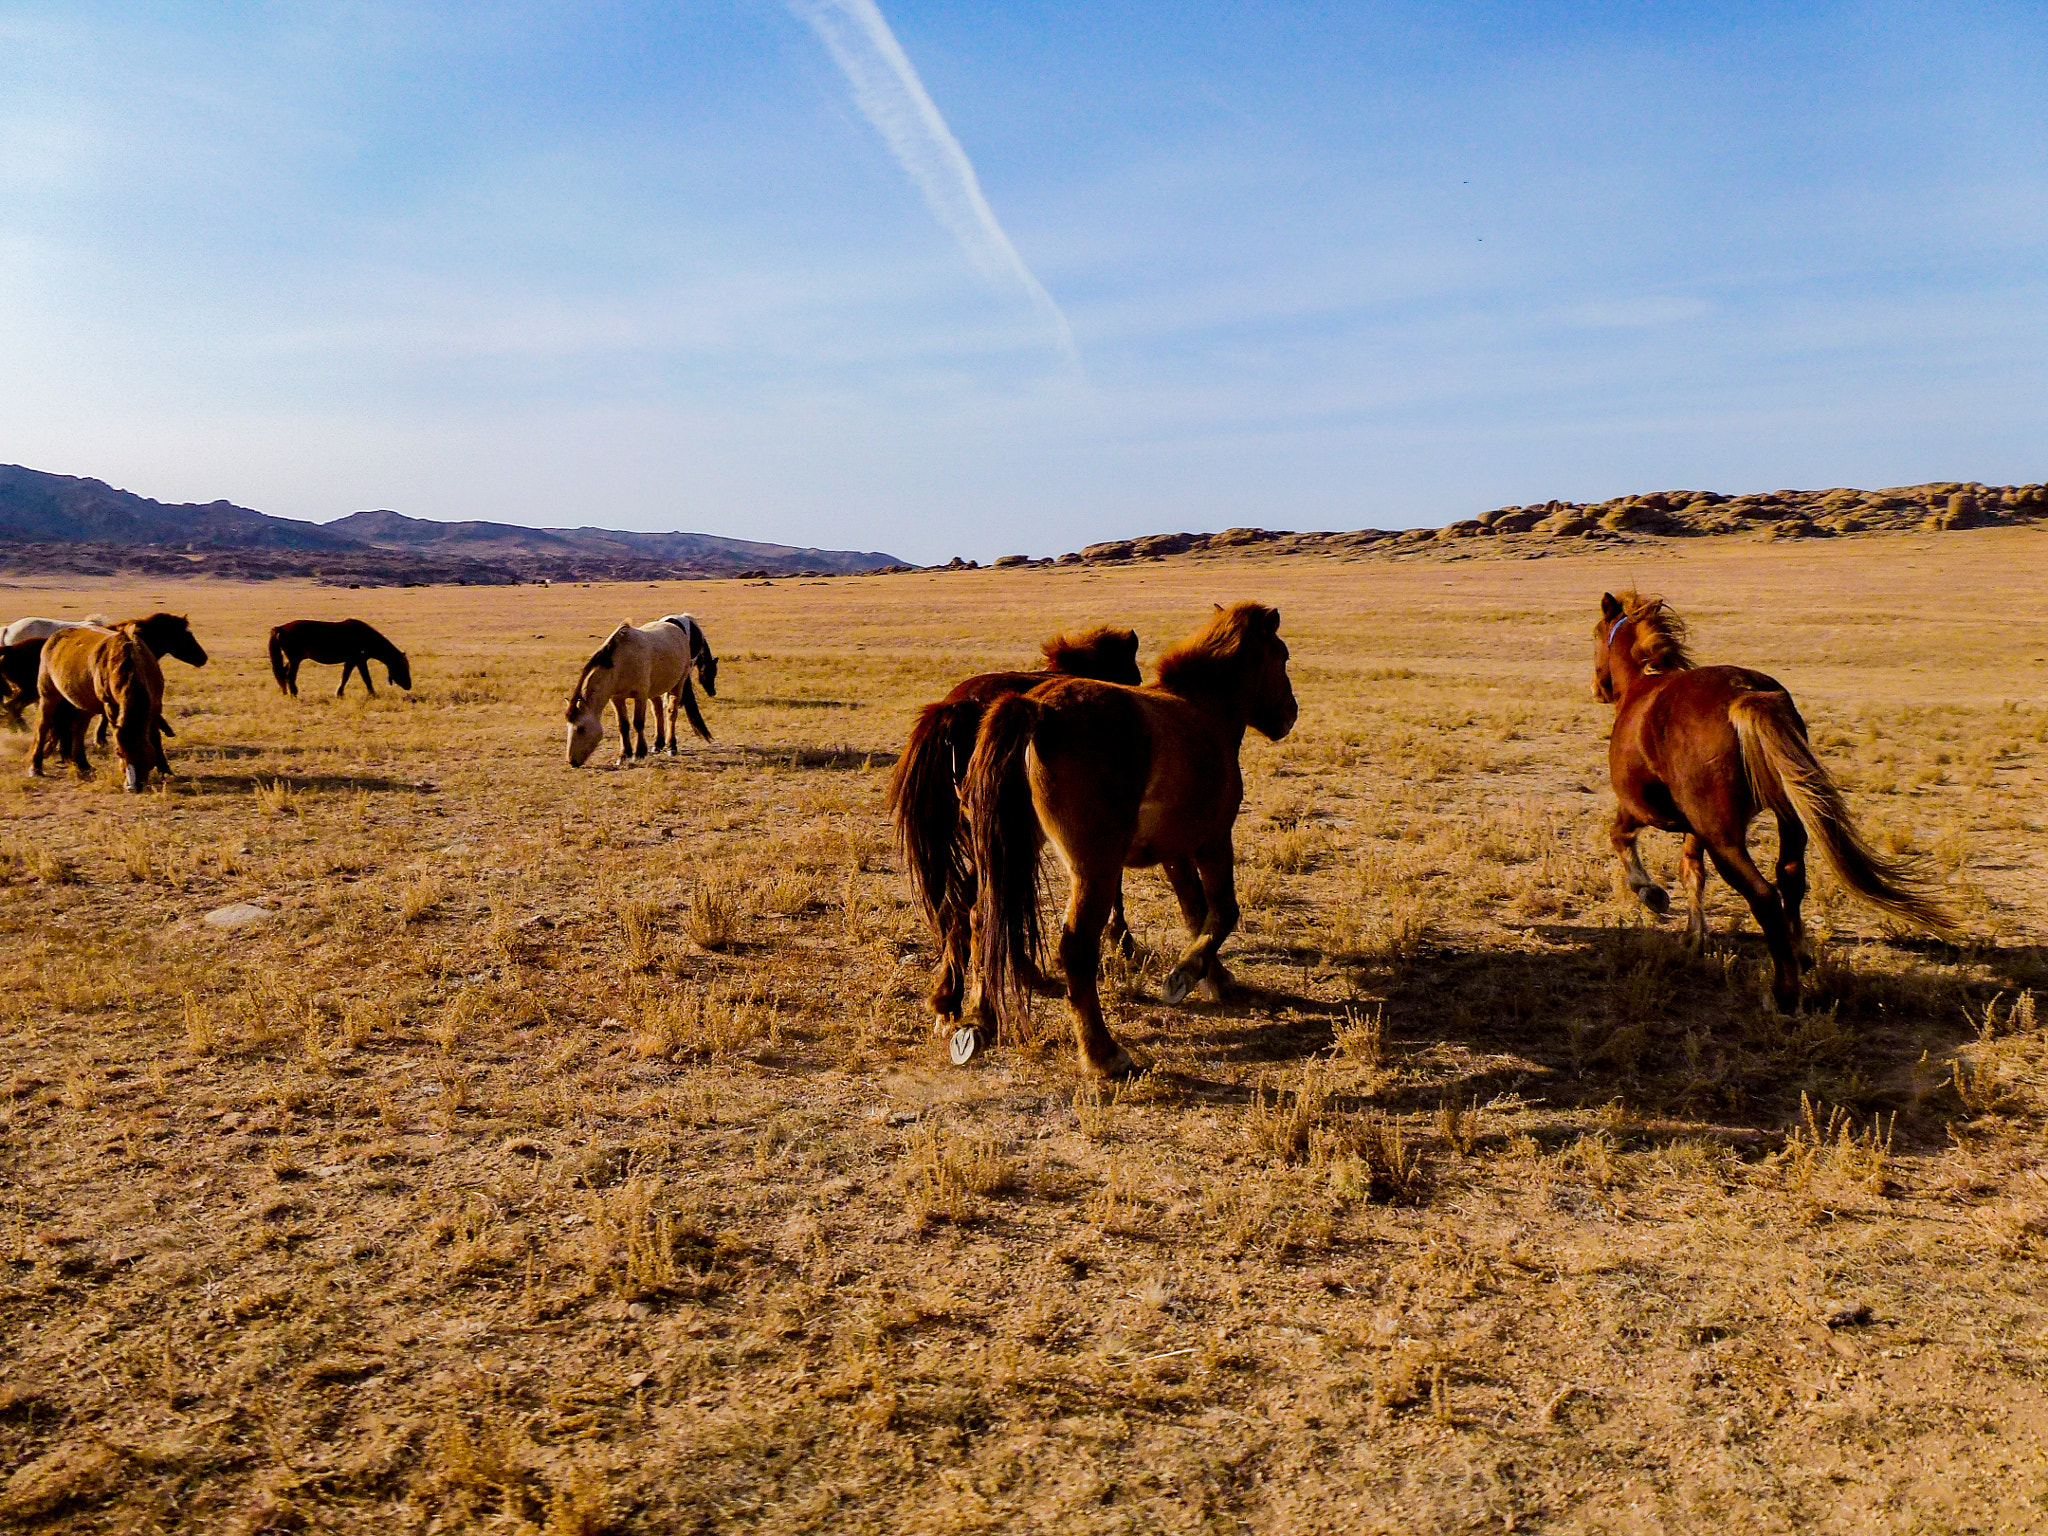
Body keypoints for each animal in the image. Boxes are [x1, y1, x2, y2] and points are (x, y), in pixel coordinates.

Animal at [32, 626, 167, 794]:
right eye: (119, 752)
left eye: (141, 751)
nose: (131, 786)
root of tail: (53, 638)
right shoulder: (111, 706)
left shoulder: (155, 706)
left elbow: (155, 737)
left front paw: (165, 770)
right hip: (49, 696)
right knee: (42, 727)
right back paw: (35, 767)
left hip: (84, 703)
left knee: (78, 729)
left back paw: (82, 764)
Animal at [272, 622, 415, 700]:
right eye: (402, 667)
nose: (409, 685)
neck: (366, 637)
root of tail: (281, 628)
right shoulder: (359, 660)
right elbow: (366, 678)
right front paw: (373, 694)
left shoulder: (351, 661)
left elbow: (345, 677)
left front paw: (339, 693)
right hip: (295, 660)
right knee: (290, 676)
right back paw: (293, 694)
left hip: (292, 660)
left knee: (283, 674)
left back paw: (286, 692)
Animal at [565, 618, 716, 770]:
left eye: (581, 728)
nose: (571, 761)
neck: (621, 662)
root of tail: (676, 627)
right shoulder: (616, 698)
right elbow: (623, 725)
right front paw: (624, 755)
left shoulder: (640, 696)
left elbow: (638, 723)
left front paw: (638, 753)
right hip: (655, 689)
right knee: (658, 712)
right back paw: (657, 744)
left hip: (678, 684)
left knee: (671, 713)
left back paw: (671, 746)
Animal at [892, 626, 1155, 1036]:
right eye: (1134, 675)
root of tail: (957, 709)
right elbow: (1115, 887)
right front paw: (1123, 942)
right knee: (976, 905)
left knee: (959, 905)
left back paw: (948, 999)